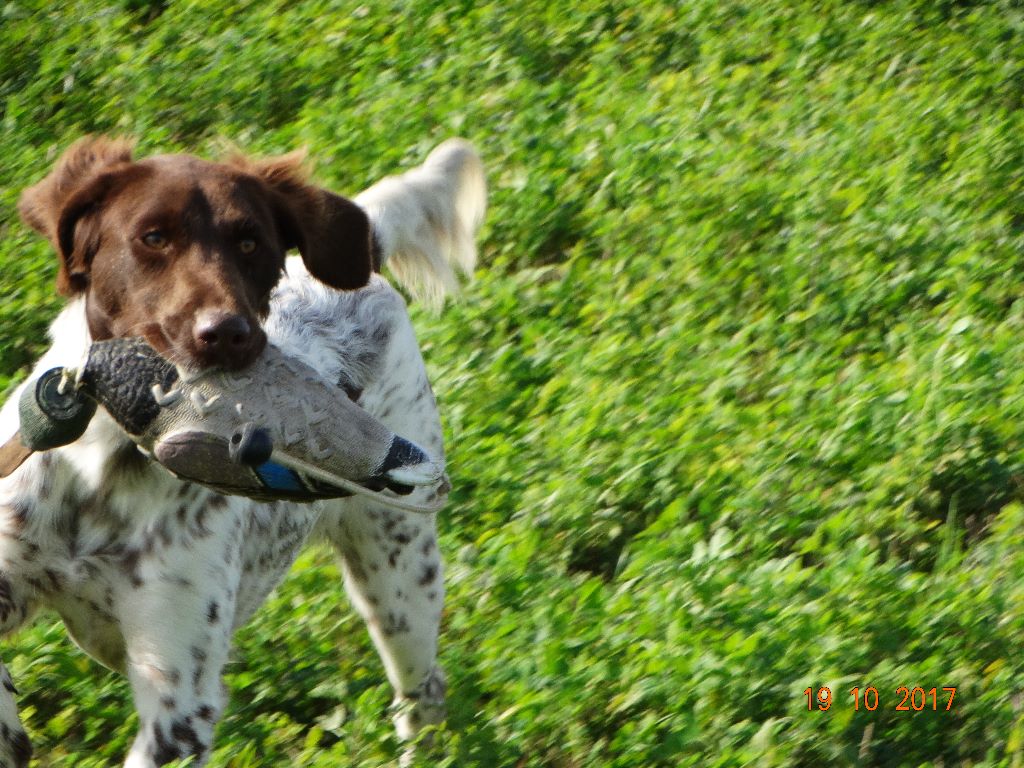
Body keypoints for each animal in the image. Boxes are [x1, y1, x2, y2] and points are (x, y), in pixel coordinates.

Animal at [0, 135, 485, 765]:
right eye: (152, 236)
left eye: (252, 242)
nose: (226, 334)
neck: (105, 470)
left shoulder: (180, 697)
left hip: (398, 575)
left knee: (421, 692)